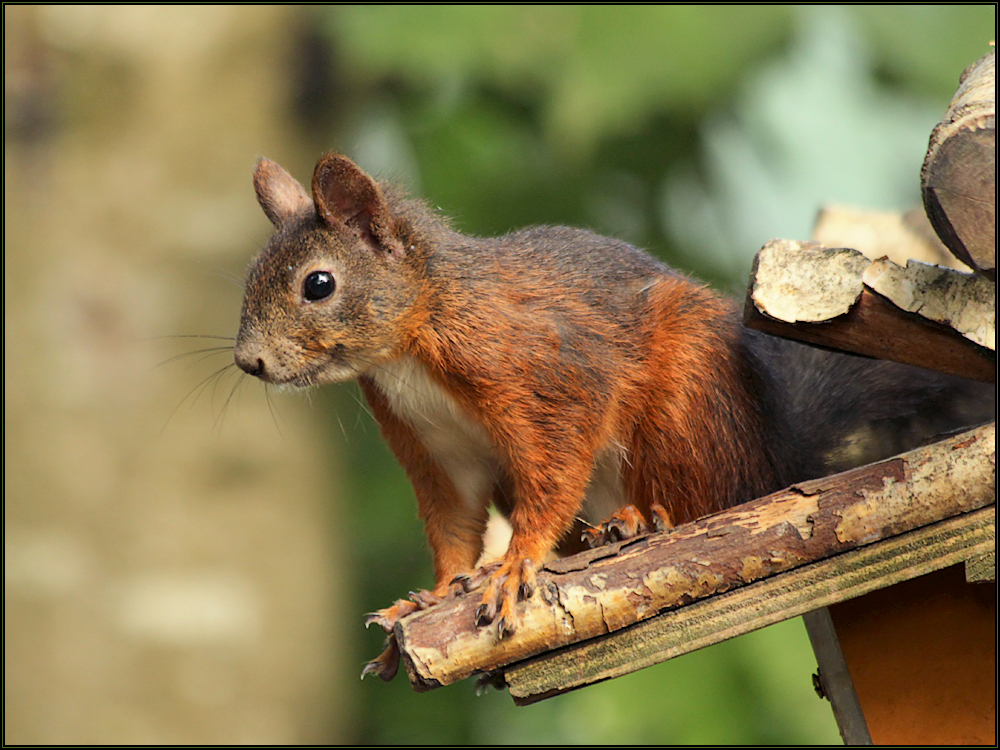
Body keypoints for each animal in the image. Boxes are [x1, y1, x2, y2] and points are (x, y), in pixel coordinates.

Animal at [234, 151, 992, 680]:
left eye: (319, 284)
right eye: (249, 277)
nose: (248, 362)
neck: (411, 345)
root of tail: (775, 450)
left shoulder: (545, 376)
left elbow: (553, 469)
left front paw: (514, 565)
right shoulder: (436, 451)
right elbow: (453, 527)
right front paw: (429, 596)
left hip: (686, 408)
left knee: (710, 498)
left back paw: (642, 520)